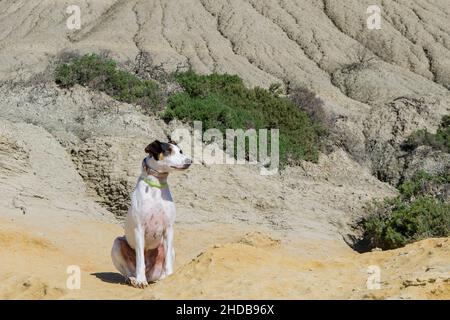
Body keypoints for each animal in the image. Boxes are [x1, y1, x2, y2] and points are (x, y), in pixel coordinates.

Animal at [112, 140, 192, 288]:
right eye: (168, 151)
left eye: (180, 151)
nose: (190, 161)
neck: (156, 187)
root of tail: (150, 276)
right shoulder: (139, 229)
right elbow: (140, 261)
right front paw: (140, 280)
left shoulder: (168, 229)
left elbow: (168, 262)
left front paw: (170, 277)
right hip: (116, 244)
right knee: (127, 272)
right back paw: (134, 279)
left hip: (169, 249)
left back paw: (161, 278)